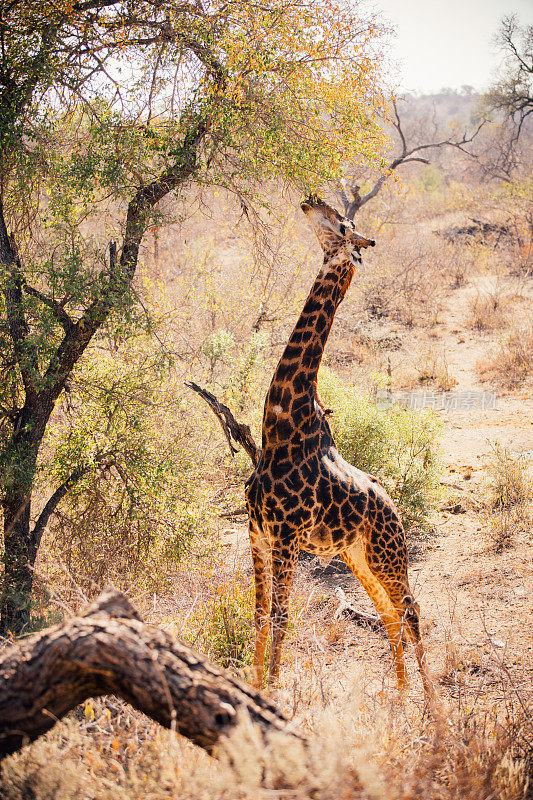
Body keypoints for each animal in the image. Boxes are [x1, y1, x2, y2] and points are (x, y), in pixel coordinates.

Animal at [243, 197, 434, 696]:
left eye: (344, 225)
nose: (310, 201)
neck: (280, 427)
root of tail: (395, 509)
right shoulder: (256, 532)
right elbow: (259, 617)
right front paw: (249, 692)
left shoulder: (286, 537)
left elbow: (281, 616)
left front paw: (271, 696)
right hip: (357, 555)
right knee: (389, 614)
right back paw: (398, 701)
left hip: (388, 554)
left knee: (411, 608)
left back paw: (432, 705)